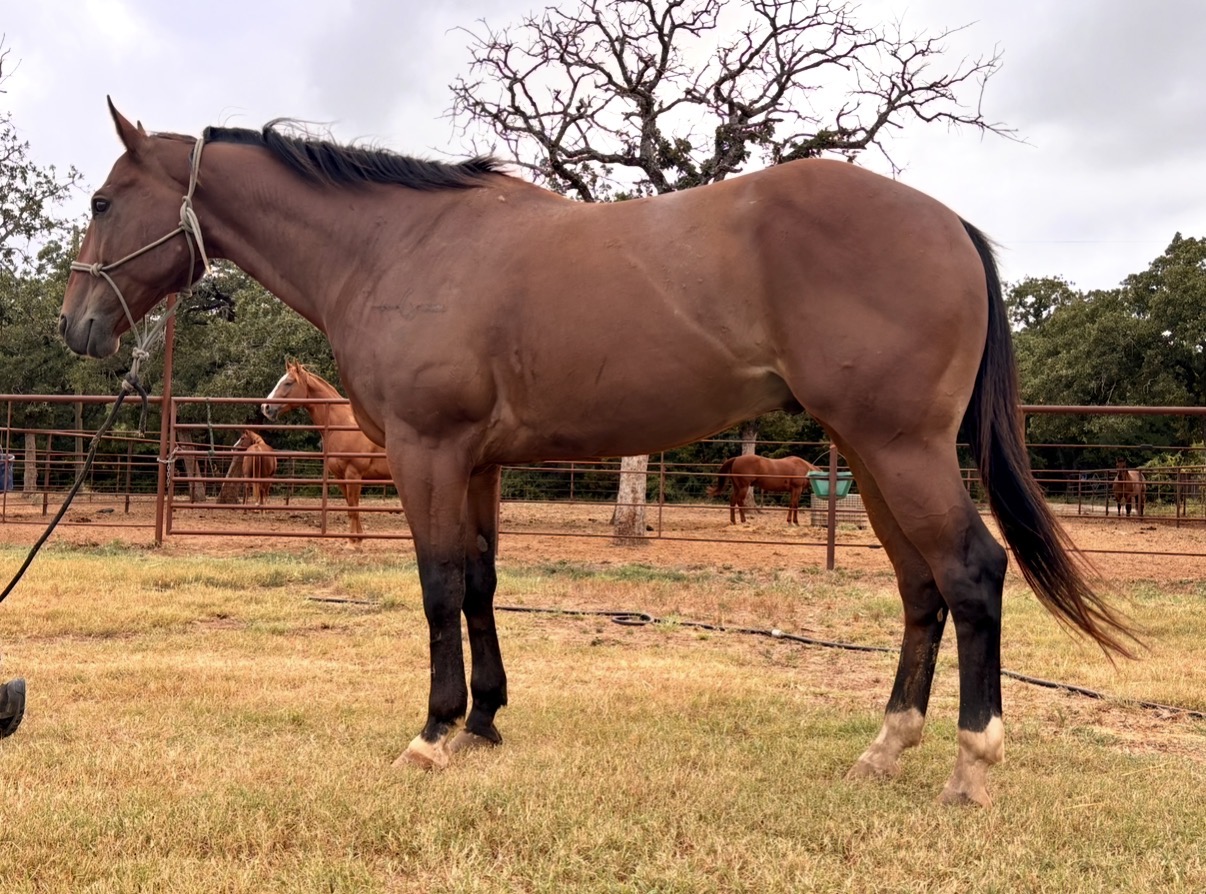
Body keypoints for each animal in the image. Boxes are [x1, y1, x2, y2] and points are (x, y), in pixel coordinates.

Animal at [260, 360, 395, 542]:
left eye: (289, 382)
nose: (265, 407)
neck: (341, 424)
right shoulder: (339, 476)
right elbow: (350, 507)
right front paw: (357, 538)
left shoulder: (353, 474)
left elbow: (353, 508)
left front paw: (353, 543)